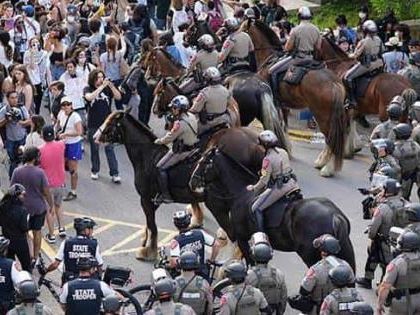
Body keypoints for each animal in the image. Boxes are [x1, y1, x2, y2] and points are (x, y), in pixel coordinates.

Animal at [243, 20, 348, 178]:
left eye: (243, 28)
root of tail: (333, 82)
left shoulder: (273, 103)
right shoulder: (283, 105)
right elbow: (284, 126)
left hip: (321, 114)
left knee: (330, 138)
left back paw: (327, 168)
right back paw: (322, 162)